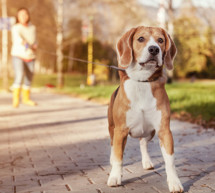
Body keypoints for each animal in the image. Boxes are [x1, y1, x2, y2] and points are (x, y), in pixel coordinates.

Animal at [107, 26, 183, 193]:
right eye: (141, 39)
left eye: (160, 40)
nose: (154, 49)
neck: (143, 81)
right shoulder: (120, 130)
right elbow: (118, 157)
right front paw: (115, 177)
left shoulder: (164, 130)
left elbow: (170, 160)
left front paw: (174, 182)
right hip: (112, 128)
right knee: (114, 146)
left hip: (150, 132)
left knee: (143, 143)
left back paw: (147, 161)